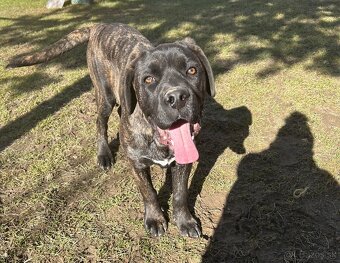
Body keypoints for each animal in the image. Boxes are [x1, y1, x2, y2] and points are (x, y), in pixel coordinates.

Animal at [6, 23, 215, 239]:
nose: (177, 97)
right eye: (148, 80)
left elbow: (180, 193)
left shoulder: (184, 161)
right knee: (100, 124)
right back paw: (104, 154)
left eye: (192, 70)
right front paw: (155, 219)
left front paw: (185, 221)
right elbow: (148, 192)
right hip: (105, 97)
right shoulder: (136, 163)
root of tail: (99, 25)